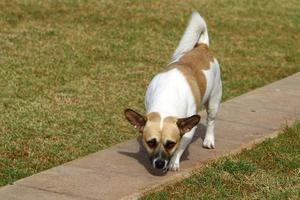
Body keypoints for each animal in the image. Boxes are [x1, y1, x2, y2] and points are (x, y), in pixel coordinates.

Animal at [123, 11, 221, 171]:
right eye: (151, 142)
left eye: (171, 144)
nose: (160, 163)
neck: (166, 101)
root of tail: (202, 46)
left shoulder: (188, 131)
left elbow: (181, 147)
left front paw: (174, 162)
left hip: (214, 101)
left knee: (211, 121)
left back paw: (208, 140)